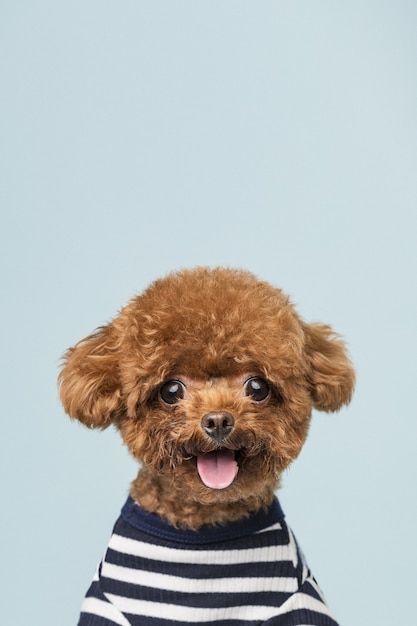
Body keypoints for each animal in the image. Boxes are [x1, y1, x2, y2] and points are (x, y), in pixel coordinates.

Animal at [58, 266, 352, 624]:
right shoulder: (106, 604)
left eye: (257, 387)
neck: (204, 527)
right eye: (171, 390)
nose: (218, 421)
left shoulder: (299, 602)